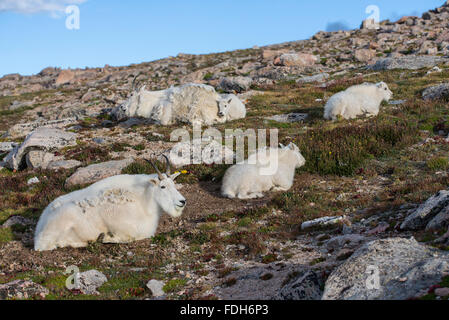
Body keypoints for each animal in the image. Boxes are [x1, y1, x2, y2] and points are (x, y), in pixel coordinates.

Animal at [34, 156, 186, 251]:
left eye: (173, 184)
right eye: (163, 186)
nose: (182, 201)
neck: (143, 201)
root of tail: (40, 225)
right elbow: (128, 237)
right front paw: (107, 238)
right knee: (47, 245)